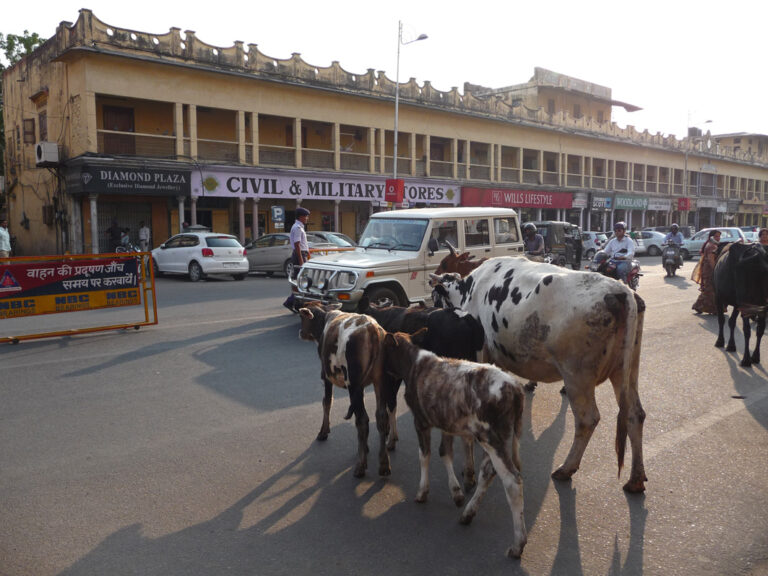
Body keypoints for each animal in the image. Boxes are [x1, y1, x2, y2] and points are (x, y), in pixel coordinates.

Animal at [298, 304, 400, 480]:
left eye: (302, 317)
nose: (300, 332)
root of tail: (373, 330)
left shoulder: (326, 376)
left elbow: (327, 402)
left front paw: (323, 431)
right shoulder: (365, 385)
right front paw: (365, 447)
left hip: (354, 383)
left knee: (363, 420)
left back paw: (361, 466)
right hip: (380, 380)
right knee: (381, 417)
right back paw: (384, 464)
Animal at [384, 328, 528, 560]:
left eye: (383, 349)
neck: (415, 365)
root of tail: (515, 387)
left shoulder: (421, 421)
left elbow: (424, 455)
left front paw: (422, 492)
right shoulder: (447, 422)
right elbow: (445, 453)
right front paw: (456, 492)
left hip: (493, 439)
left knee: (512, 481)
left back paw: (517, 545)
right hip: (501, 439)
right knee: (488, 472)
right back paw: (468, 513)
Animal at [432, 258, 648, 496]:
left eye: (436, 297)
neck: (469, 290)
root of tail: (620, 291)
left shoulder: (483, 354)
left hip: (577, 376)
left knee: (587, 419)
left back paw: (566, 468)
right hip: (627, 368)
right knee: (635, 414)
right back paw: (636, 479)